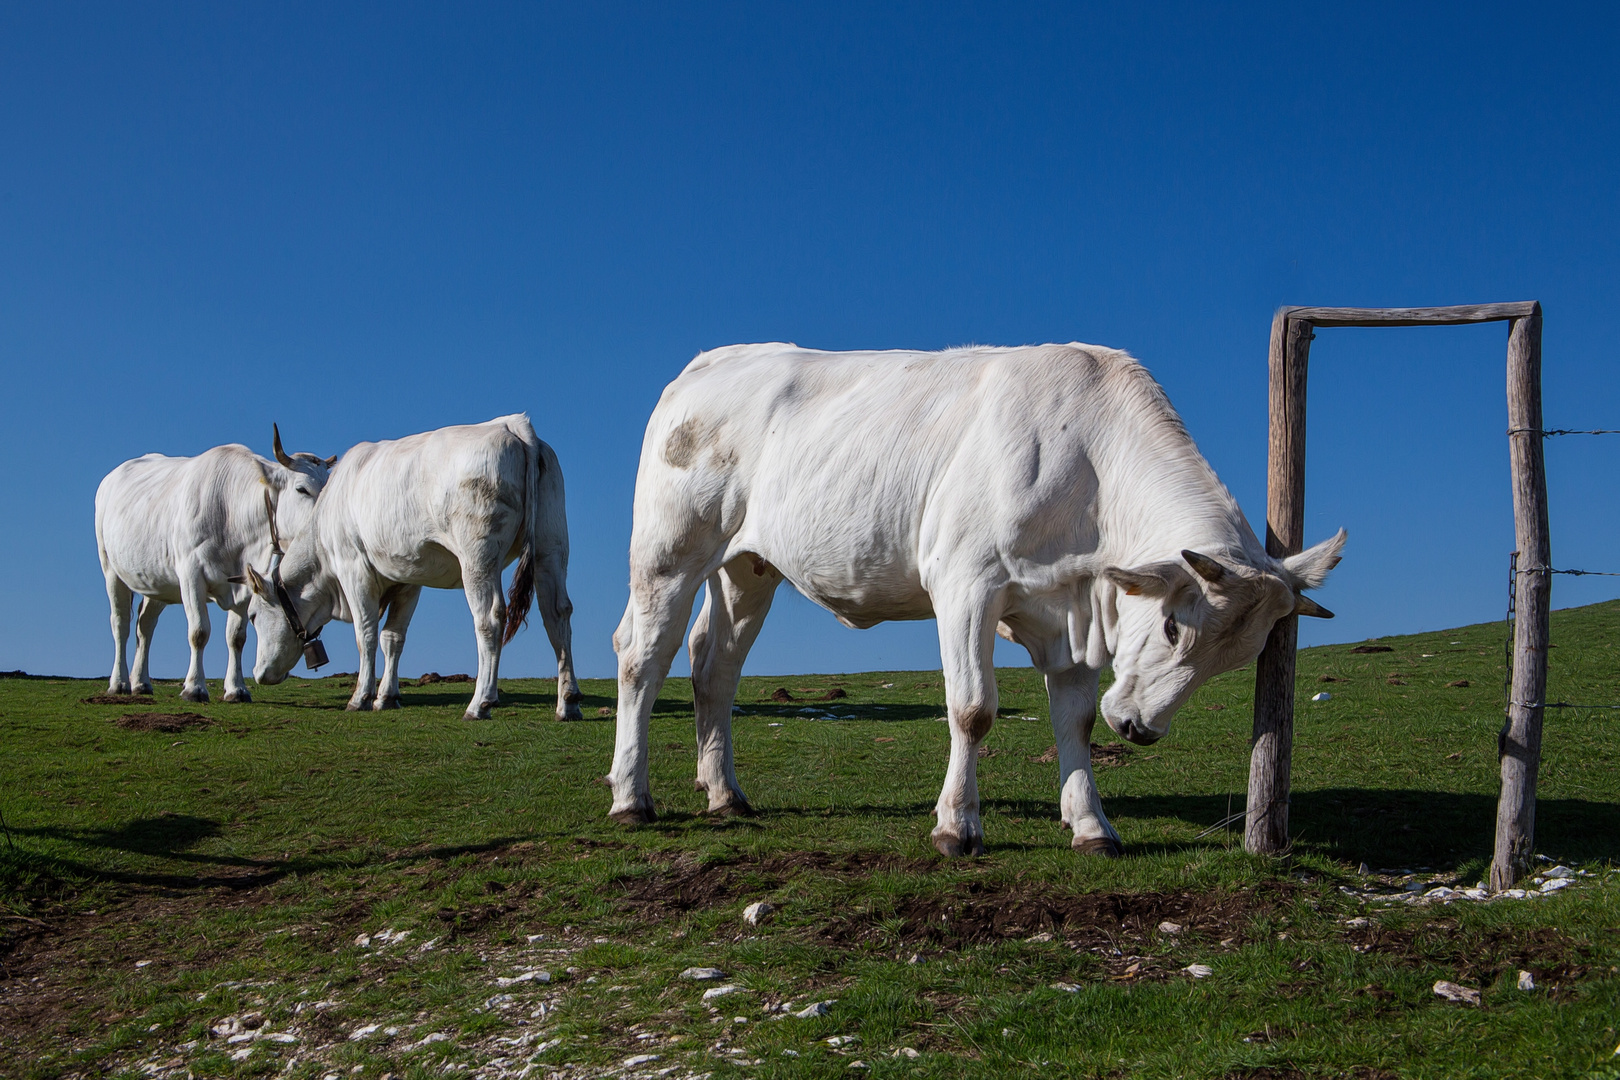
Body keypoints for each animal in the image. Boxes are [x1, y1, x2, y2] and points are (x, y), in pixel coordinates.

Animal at [95, 427, 335, 705]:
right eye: (302, 489)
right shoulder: (190, 574)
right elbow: (198, 632)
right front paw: (194, 688)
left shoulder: (244, 583)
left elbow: (236, 637)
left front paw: (236, 689)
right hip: (110, 568)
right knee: (120, 623)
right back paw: (119, 682)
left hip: (157, 580)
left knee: (145, 625)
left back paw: (141, 682)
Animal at [243, 417, 586, 722]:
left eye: (253, 615)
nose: (258, 673)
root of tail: (513, 424)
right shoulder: (408, 578)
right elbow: (392, 637)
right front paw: (387, 697)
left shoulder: (353, 566)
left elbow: (365, 633)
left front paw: (361, 697)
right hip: (551, 546)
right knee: (557, 613)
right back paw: (568, 703)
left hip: (478, 555)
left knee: (489, 617)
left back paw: (480, 703)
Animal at [609, 341, 1341, 854]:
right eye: (1171, 628)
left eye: (1234, 659)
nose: (1138, 728)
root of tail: (714, 360)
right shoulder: (965, 583)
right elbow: (972, 710)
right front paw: (957, 827)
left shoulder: (1069, 610)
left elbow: (1074, 719)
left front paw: (1091, 825)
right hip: (668, 552)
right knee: (643, 656)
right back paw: (631, 798)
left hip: (747, 567)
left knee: (715, 666)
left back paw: (725, 794)